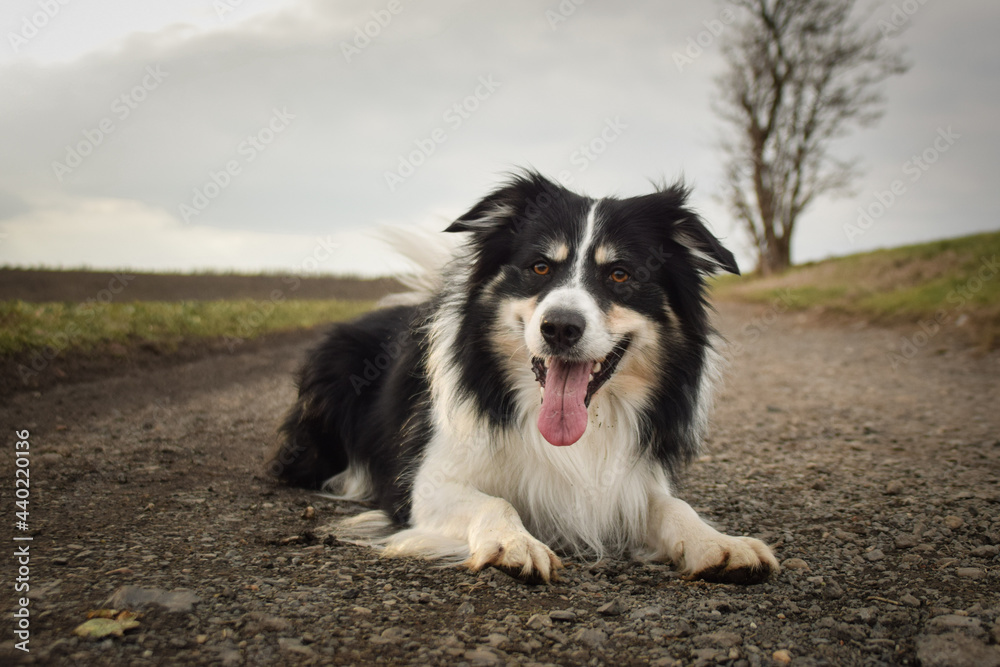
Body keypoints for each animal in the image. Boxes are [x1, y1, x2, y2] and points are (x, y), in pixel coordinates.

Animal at [272, 172, 780, 584]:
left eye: (619, 274)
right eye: (540, 266)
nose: (560, 327)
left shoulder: (629, 479)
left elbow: (674, 506)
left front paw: (719, 543)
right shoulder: (425, 485)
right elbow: (495, 502)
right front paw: (514, 545)